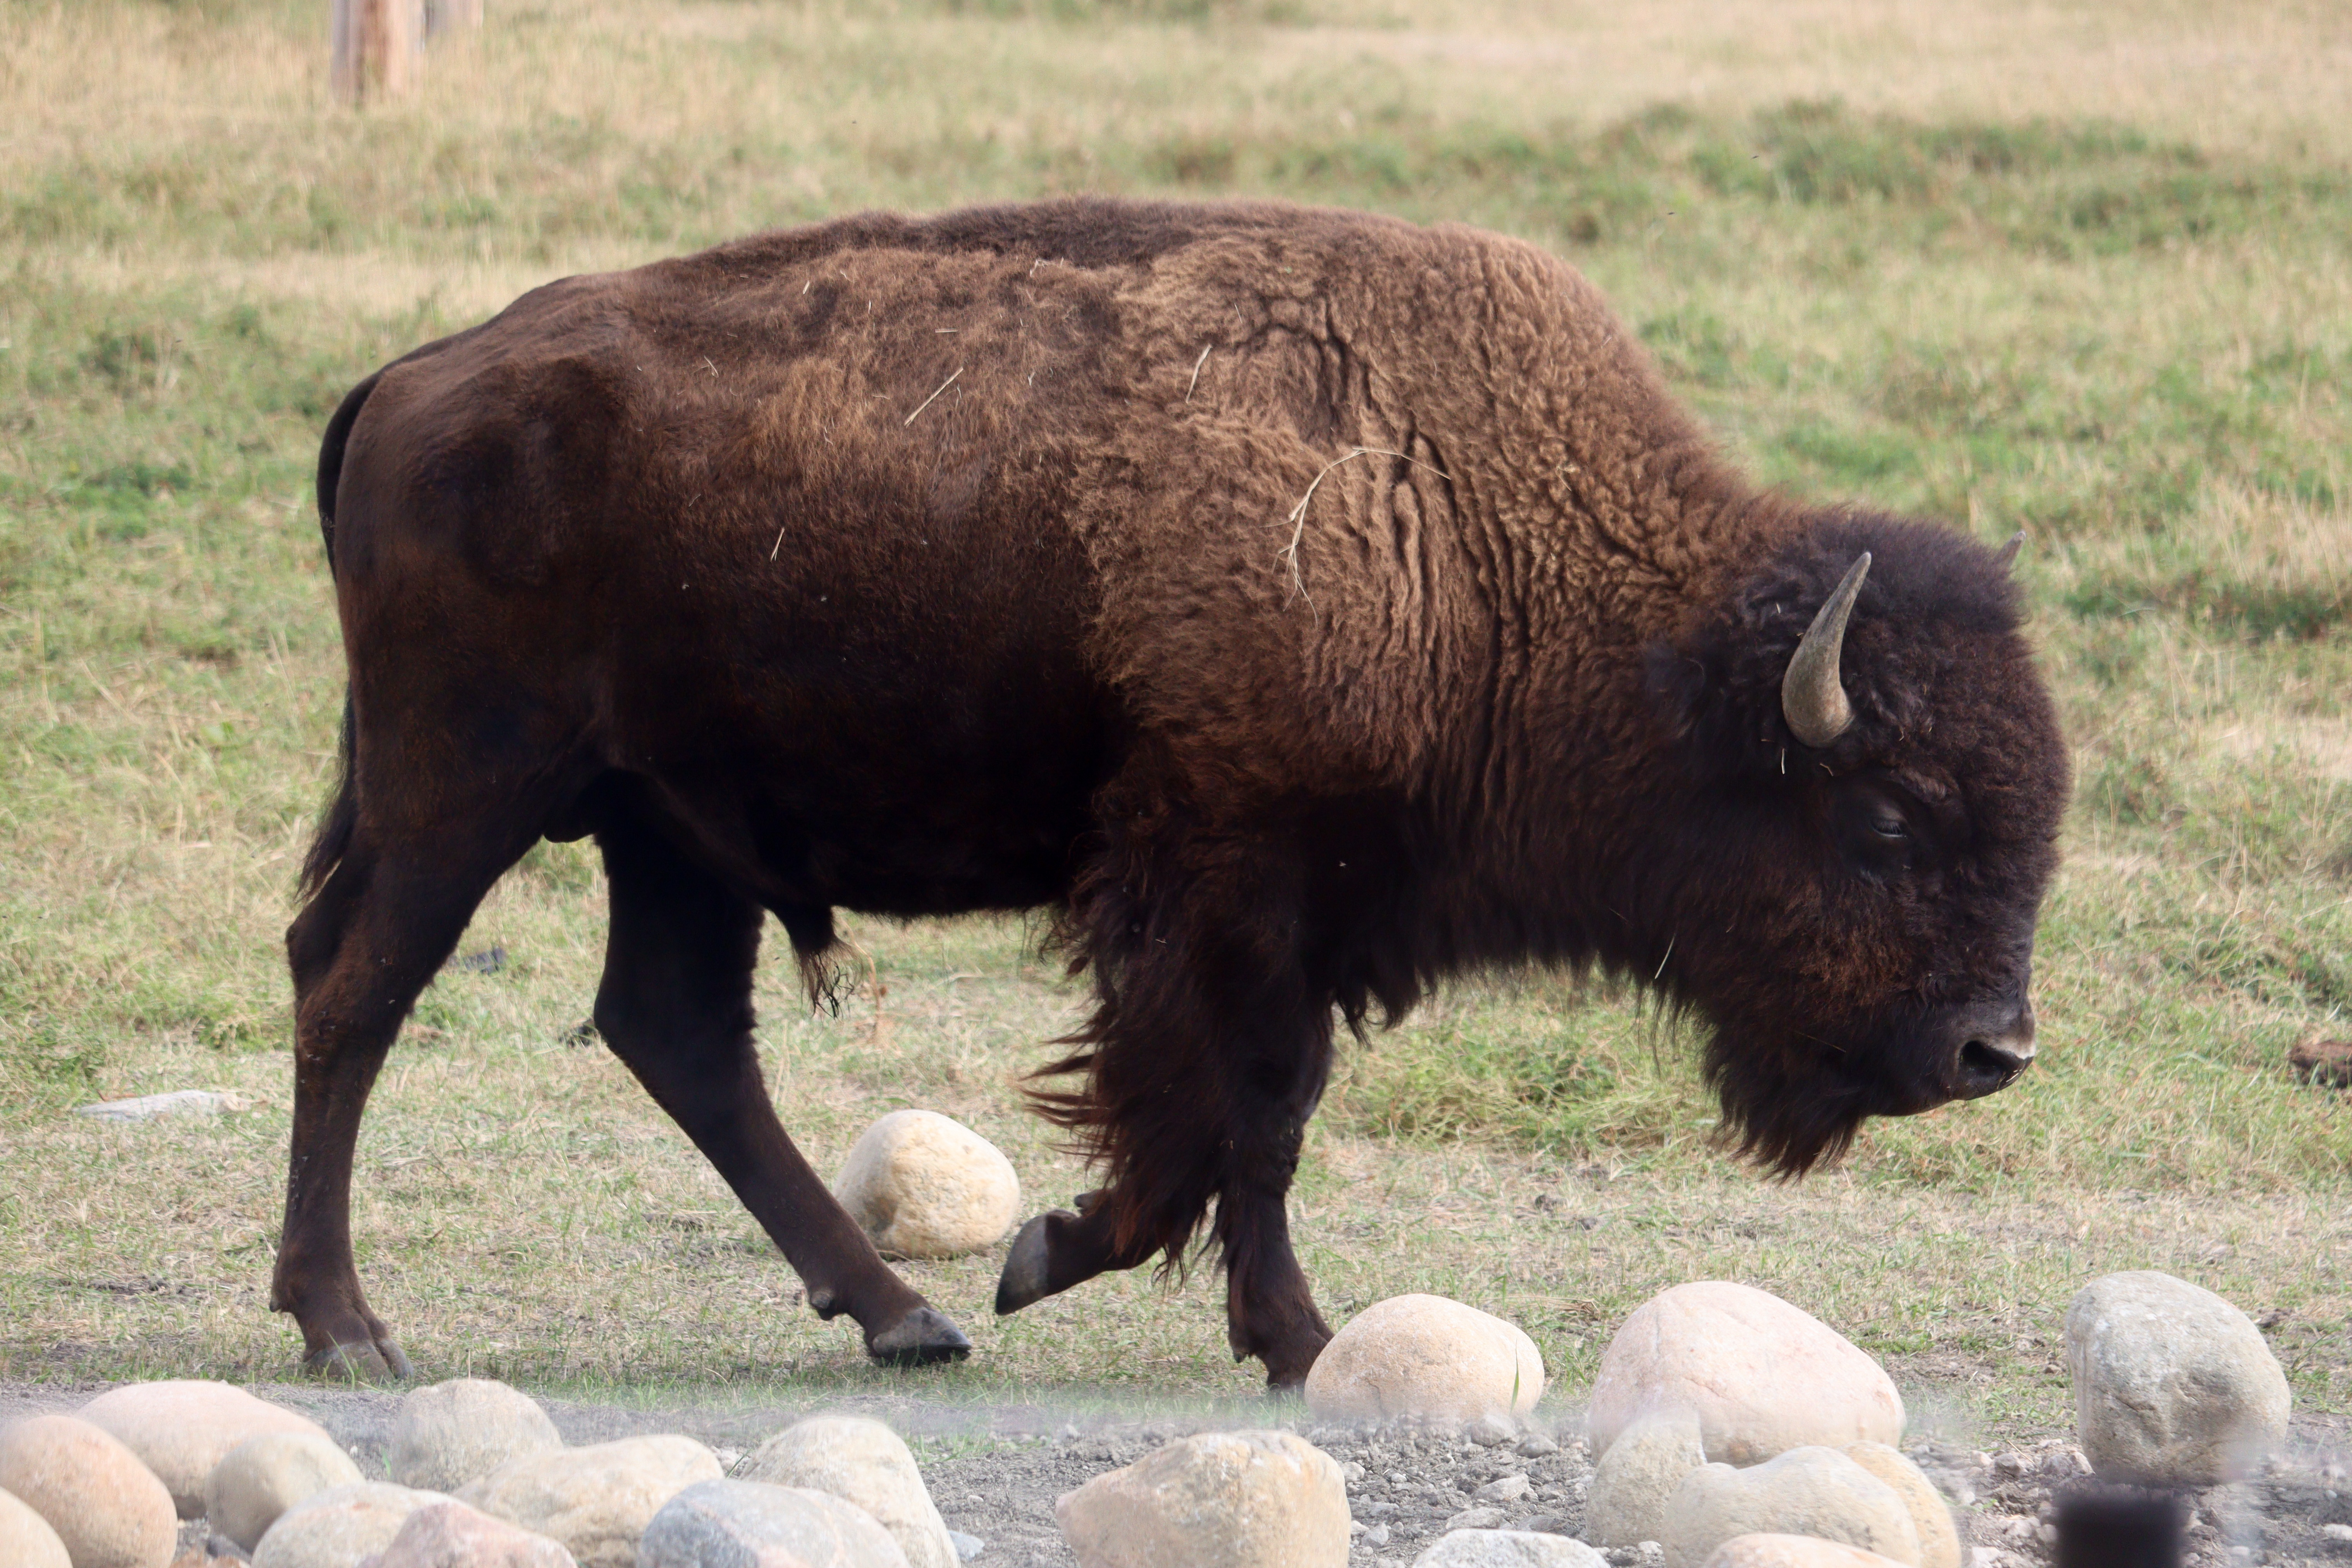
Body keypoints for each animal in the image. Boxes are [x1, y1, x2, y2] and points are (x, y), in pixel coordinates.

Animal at [279, 198, 2067, 1386]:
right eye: (1883, 819)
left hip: (672, 830)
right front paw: (1104, 1272)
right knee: (354, 991)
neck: (1475, 538)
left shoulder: (1308, 911)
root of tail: (415, 377)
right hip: (467, 787)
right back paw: (349, 1326)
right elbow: (1225, 1114)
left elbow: (1256, 1125)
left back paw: (900, 1316)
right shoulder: (1222, 884)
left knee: (673, 1032)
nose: (1989, 1050)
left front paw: (1243, 1322)